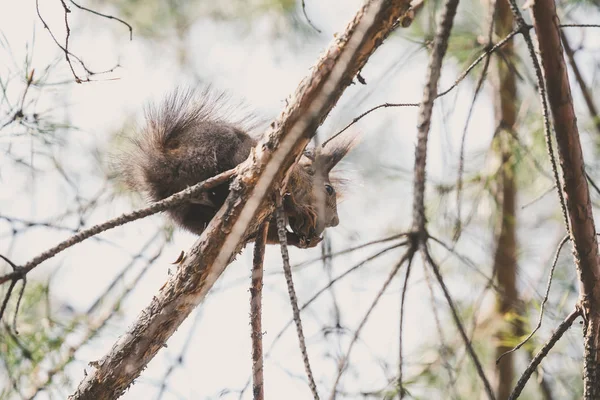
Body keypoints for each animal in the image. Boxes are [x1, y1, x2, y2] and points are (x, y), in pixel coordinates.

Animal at [118, 88, 352, 247]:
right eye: (328, 190)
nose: (335, 221)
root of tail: (161, 164)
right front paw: (298, 208)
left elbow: (267, 235)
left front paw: (302, 240)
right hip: (215, 153)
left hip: (187, 213)